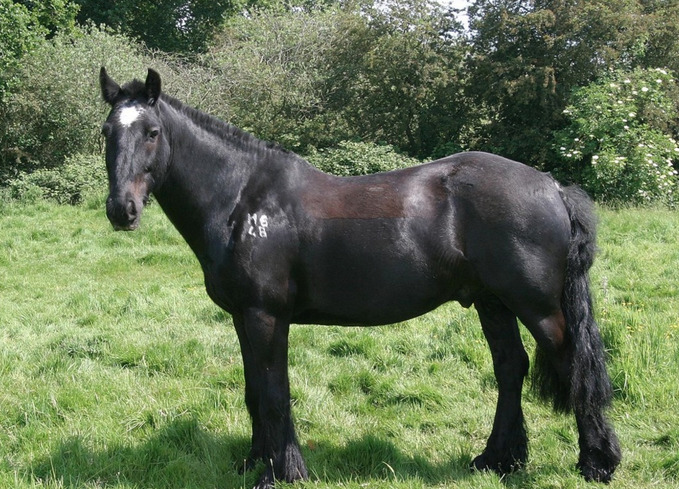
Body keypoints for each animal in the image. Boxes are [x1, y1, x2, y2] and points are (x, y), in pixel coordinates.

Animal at [97, 69, 620, 488]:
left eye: (151, 131)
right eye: (106, 132)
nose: (122, 210)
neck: (242, 201)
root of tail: (552, 186)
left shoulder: (266, 317)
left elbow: (274, 394)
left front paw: (283, 473)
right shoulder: (243, 318)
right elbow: (253, 391)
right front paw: (253, 463)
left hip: (537, 307)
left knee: (572, 366)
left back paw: (597, 462)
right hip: (493, 303)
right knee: (511, 369)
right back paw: (496, 460)